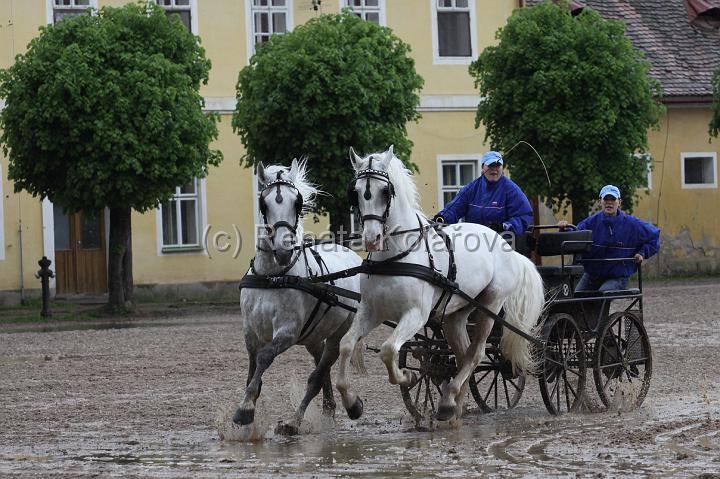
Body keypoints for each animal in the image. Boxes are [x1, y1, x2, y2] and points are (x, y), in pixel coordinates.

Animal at [235, 159, 362, 436]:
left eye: (297, 202)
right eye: (263, 203)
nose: (283, 251)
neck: (272, 277)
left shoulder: (288, 331)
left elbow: (264, 358)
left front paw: (245, 410)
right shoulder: (250, 331)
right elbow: (252, 370)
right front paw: (248, 408)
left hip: (338, 332)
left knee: (320, 372)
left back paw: (304, 418)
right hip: (314, 335)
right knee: (321, 365)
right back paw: (329, 408)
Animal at [334, 147, 544, 424]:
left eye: (385, 191)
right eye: (356, 192)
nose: (371, 238)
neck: (396, 257)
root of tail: (505, 245)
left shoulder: (416, 315)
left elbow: (388, 350)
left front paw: (408, 376)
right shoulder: (371, 311)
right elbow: (346, 344)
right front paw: (352, 403)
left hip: (490, 305)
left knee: (476, 354)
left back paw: (449, 399)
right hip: (455, 315)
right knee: (464, 355)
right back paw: (453, 406)